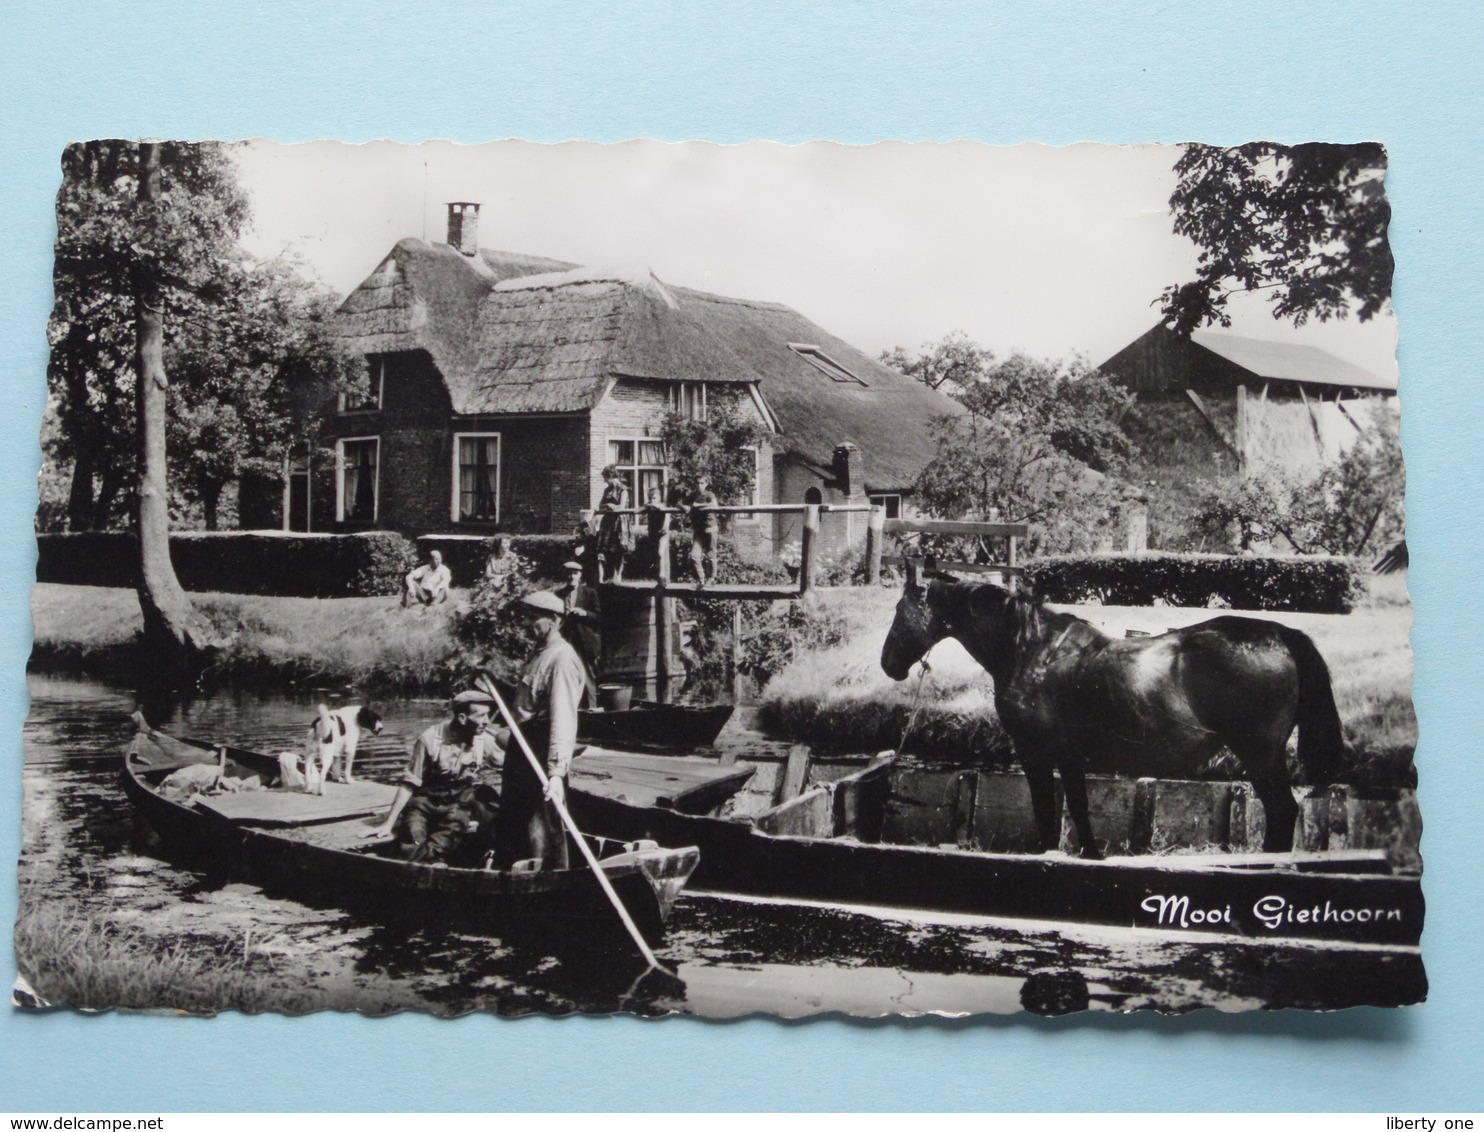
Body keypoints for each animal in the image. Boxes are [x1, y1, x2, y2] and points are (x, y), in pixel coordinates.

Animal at [878, 566, 1347, 860]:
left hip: (1260, 754)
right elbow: (1079, 808)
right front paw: (1090, 853)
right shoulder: (1069, 757)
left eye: (901, 612)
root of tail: (1281, 635)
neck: (1032, 650)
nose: (888, 664)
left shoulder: (1035, 753)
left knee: (1282, 811)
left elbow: (1046, 809)